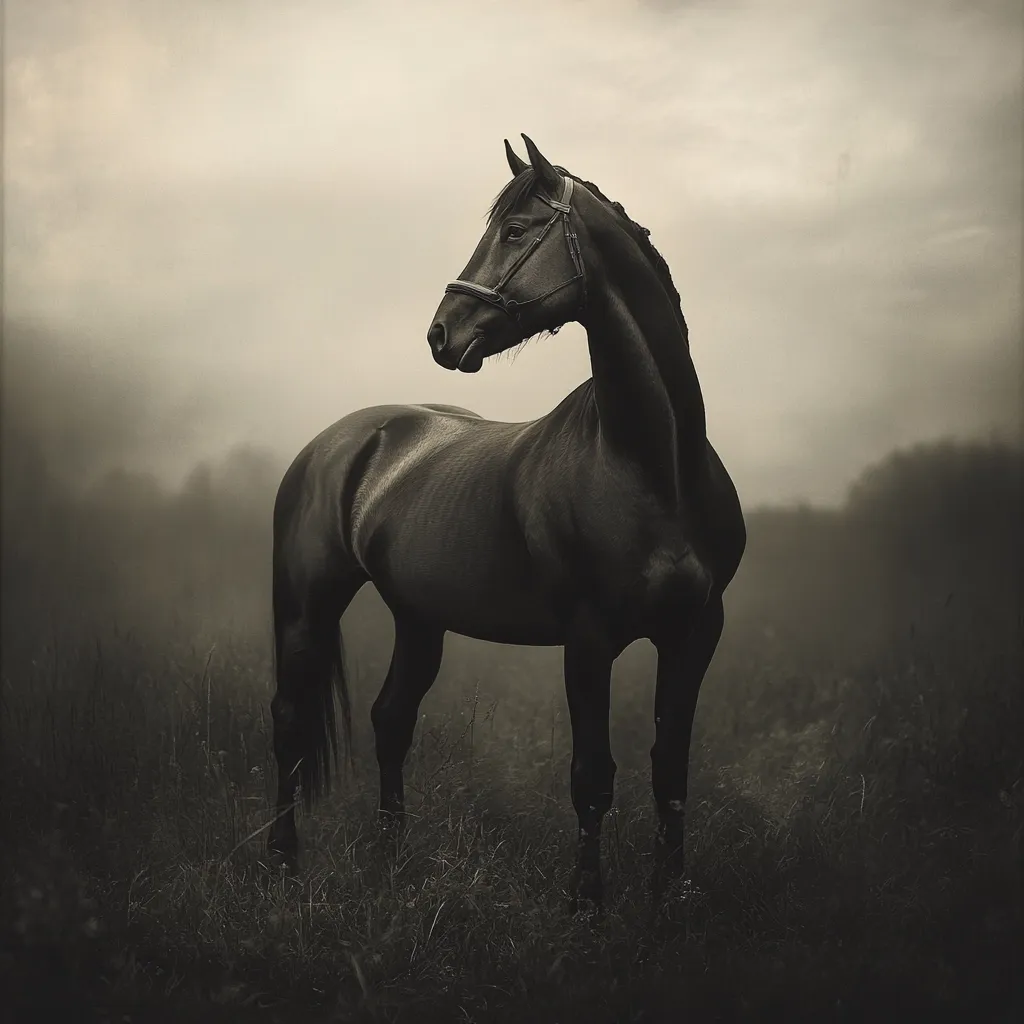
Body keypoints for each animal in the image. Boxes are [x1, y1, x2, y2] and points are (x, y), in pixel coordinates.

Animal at [267, 135, 746, 908]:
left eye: (517, 232)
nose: (441, 332)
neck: (654, 467)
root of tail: (341, 441)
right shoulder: (588, 637)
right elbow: (592, 777)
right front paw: (587, 903)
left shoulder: (697, 630)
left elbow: (670, 769)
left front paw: (670, 897)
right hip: (306, 606)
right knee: (288, 721)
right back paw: (282, 859)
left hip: (418, 617)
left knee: (390, 719)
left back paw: (392, 860)